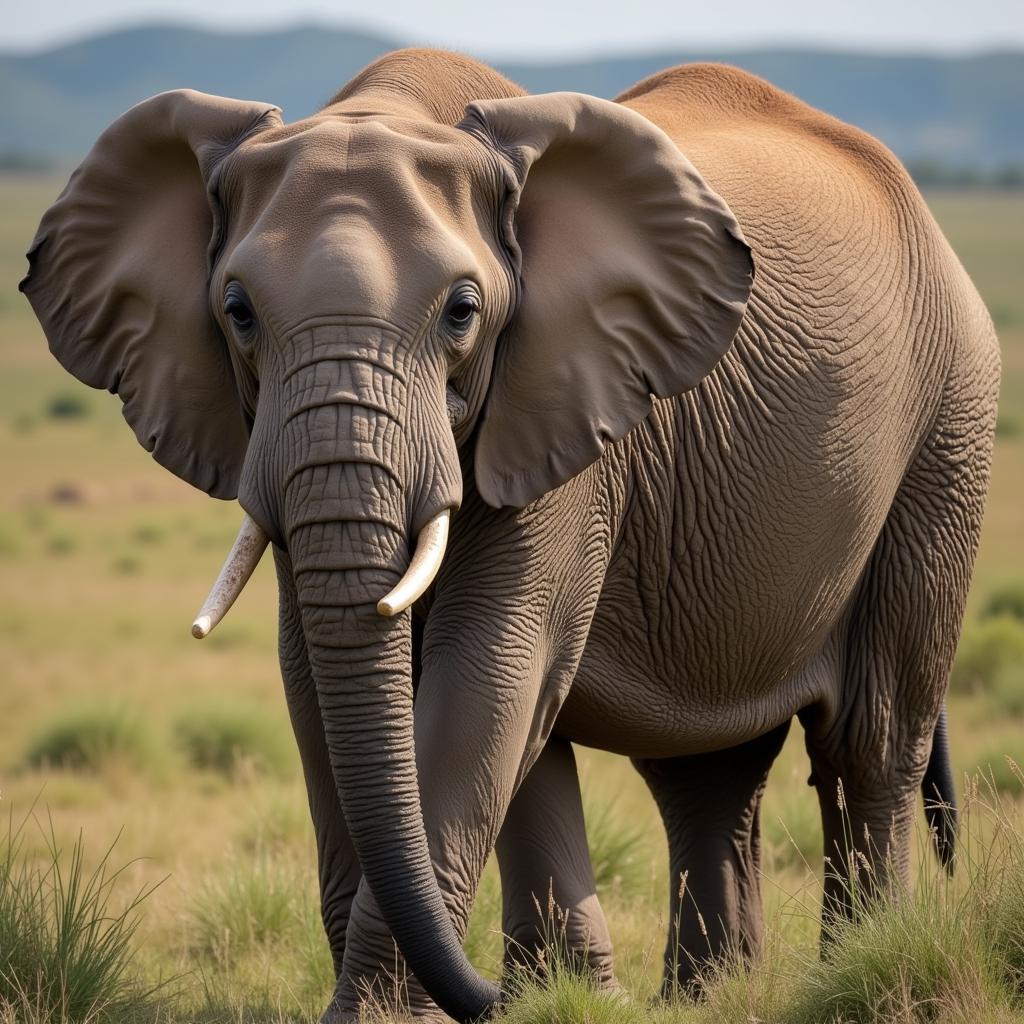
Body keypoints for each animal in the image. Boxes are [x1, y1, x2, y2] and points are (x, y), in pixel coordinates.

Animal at [22, 48, 999, 1024]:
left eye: (462, 312)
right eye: (237, 310)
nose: (487, 992)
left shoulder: (571, 413)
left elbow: (490, 666)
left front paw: (412, 1012)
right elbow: (322, 678)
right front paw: (546, 995)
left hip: (949, 428)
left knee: (871, 738)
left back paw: (860, 970)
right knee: (703, 769)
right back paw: (705, 996)